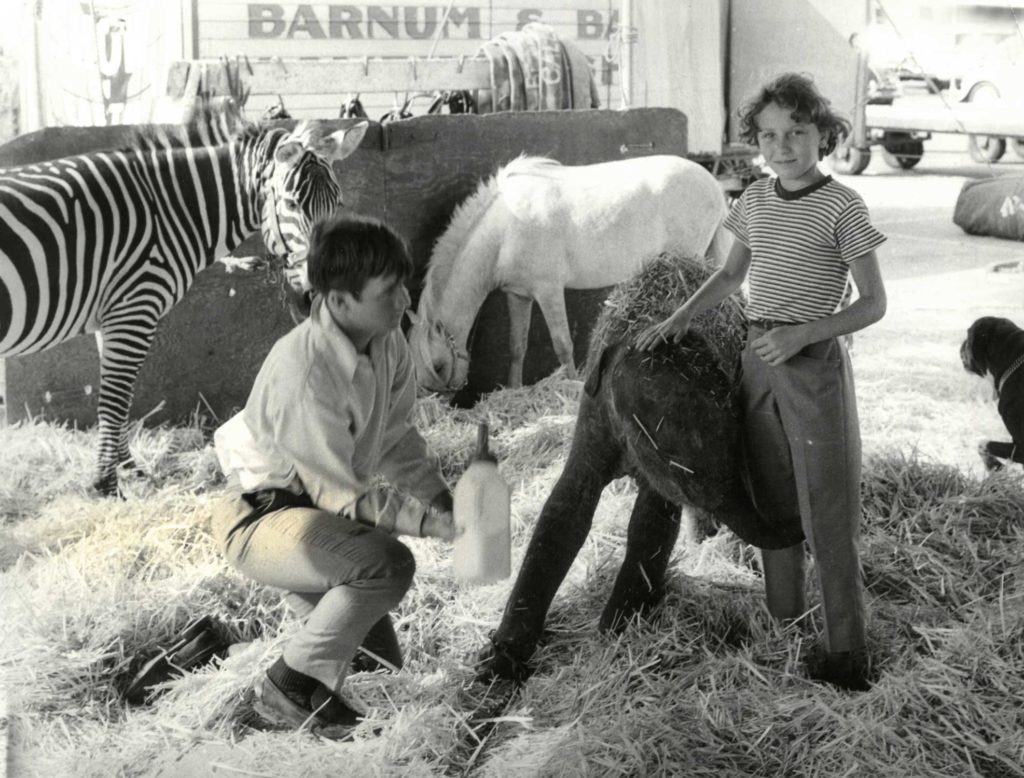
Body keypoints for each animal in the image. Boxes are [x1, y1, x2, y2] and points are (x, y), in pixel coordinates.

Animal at [0, 107, 368, 491]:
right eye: (292, 203)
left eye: (338, 203)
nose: (313, 297)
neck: (167, 211)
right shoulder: (135, 309)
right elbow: (115, 398)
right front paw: (106, 484)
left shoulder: (114, 315)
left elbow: (118, 396)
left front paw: (129, 467)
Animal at [403, 154, 733, 391]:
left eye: (438, 365)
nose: (438, 402)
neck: (505, 228)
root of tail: (713, 184)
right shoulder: (518, 295)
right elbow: (517, 345)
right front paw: (514, 389)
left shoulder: (548, 290)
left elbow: (562, 344)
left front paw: (572, 385)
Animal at [475, 253, 802, 679]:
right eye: (669, 462)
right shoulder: (596, 412)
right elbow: (565, 509)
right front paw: (499, 664)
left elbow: (651, 519)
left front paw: (613, 633)